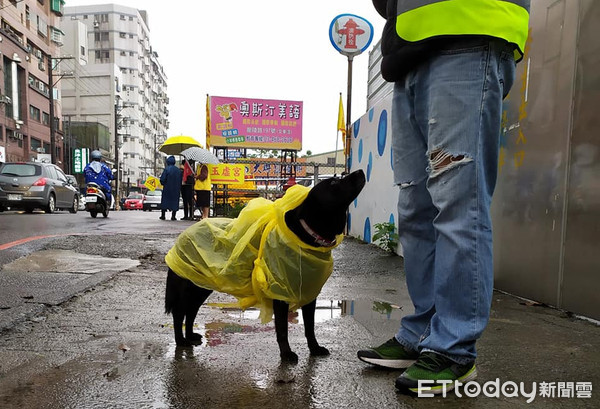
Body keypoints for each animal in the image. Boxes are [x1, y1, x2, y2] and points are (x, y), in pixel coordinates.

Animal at [164, 169, 366, 360]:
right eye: (333, 183)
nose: (361, 171)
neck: (305, 235)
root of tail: (181, 238)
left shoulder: (309, 293)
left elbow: (310, 327)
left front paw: (314, 349)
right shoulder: (280, 292)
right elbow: (282, 328)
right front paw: (286, 354)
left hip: (201, 285)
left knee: (190, 311)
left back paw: (190, 336)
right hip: (191, 285)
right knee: (179, 312)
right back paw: (181, 341)